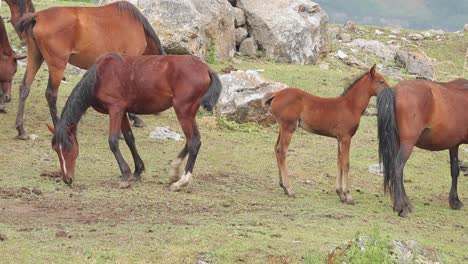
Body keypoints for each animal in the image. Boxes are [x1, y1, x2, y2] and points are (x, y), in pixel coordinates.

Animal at [14, 0, 165, 140]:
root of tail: (37, 16)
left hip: (35, 58)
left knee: (24, 88)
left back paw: (21, 129)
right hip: (57, 65)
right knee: (51, 94)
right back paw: (57, 126)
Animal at [46, 53, 222, 190]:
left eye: (68, 148)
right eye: (55, 149)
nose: (67, 179)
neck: (101, 75)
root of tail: (206, 69)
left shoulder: (115, 109)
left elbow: (113, 141)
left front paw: (125, 175)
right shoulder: (123, 111)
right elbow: (129, 138)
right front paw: (137, 171)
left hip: (183, 112)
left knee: (194, 142)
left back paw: (181, 182)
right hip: (188, 114)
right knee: (192, 140)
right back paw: (174, 171)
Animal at [264, 65, 388, 203]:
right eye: (381, 81)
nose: (390, 92)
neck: (351, 106)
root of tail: (276, 94)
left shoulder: (339, 139)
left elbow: (339, 162)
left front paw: (340, 194)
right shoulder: (346, 138)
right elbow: (346, 164)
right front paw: (348, 195)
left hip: (282, 127)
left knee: (276, 148)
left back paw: (283, 186)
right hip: (288, 127)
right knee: (282, 151)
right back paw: (289, 189)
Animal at [378, 78, 468, 217]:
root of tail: (394, 90)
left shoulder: (454, 145)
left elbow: (454, 170)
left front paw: (454, 201)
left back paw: (406, 204)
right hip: (407, 143)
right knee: (398, 168)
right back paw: (401, 207)